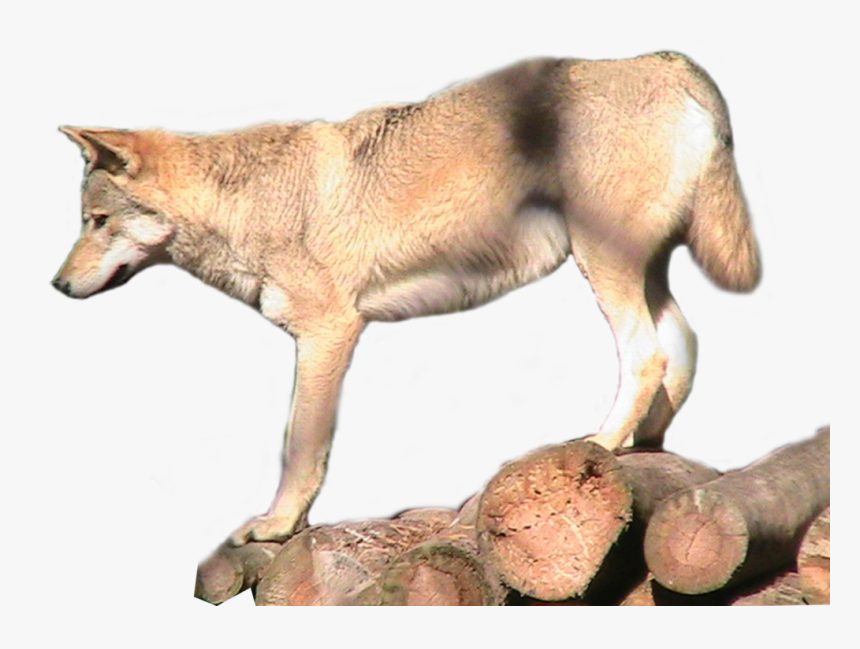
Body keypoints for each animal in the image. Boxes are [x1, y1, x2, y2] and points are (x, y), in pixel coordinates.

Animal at [53, 52, 760, 545]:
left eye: (96, 221)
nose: (56, 286)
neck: (251, 202)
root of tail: (664, 60)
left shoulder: (328, 335)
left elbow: (299, 447)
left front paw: (277, 527)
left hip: (603, 265)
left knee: (647, 354)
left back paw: (602, 444)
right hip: (639, 270)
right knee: (682, 344)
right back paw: (646, 443)